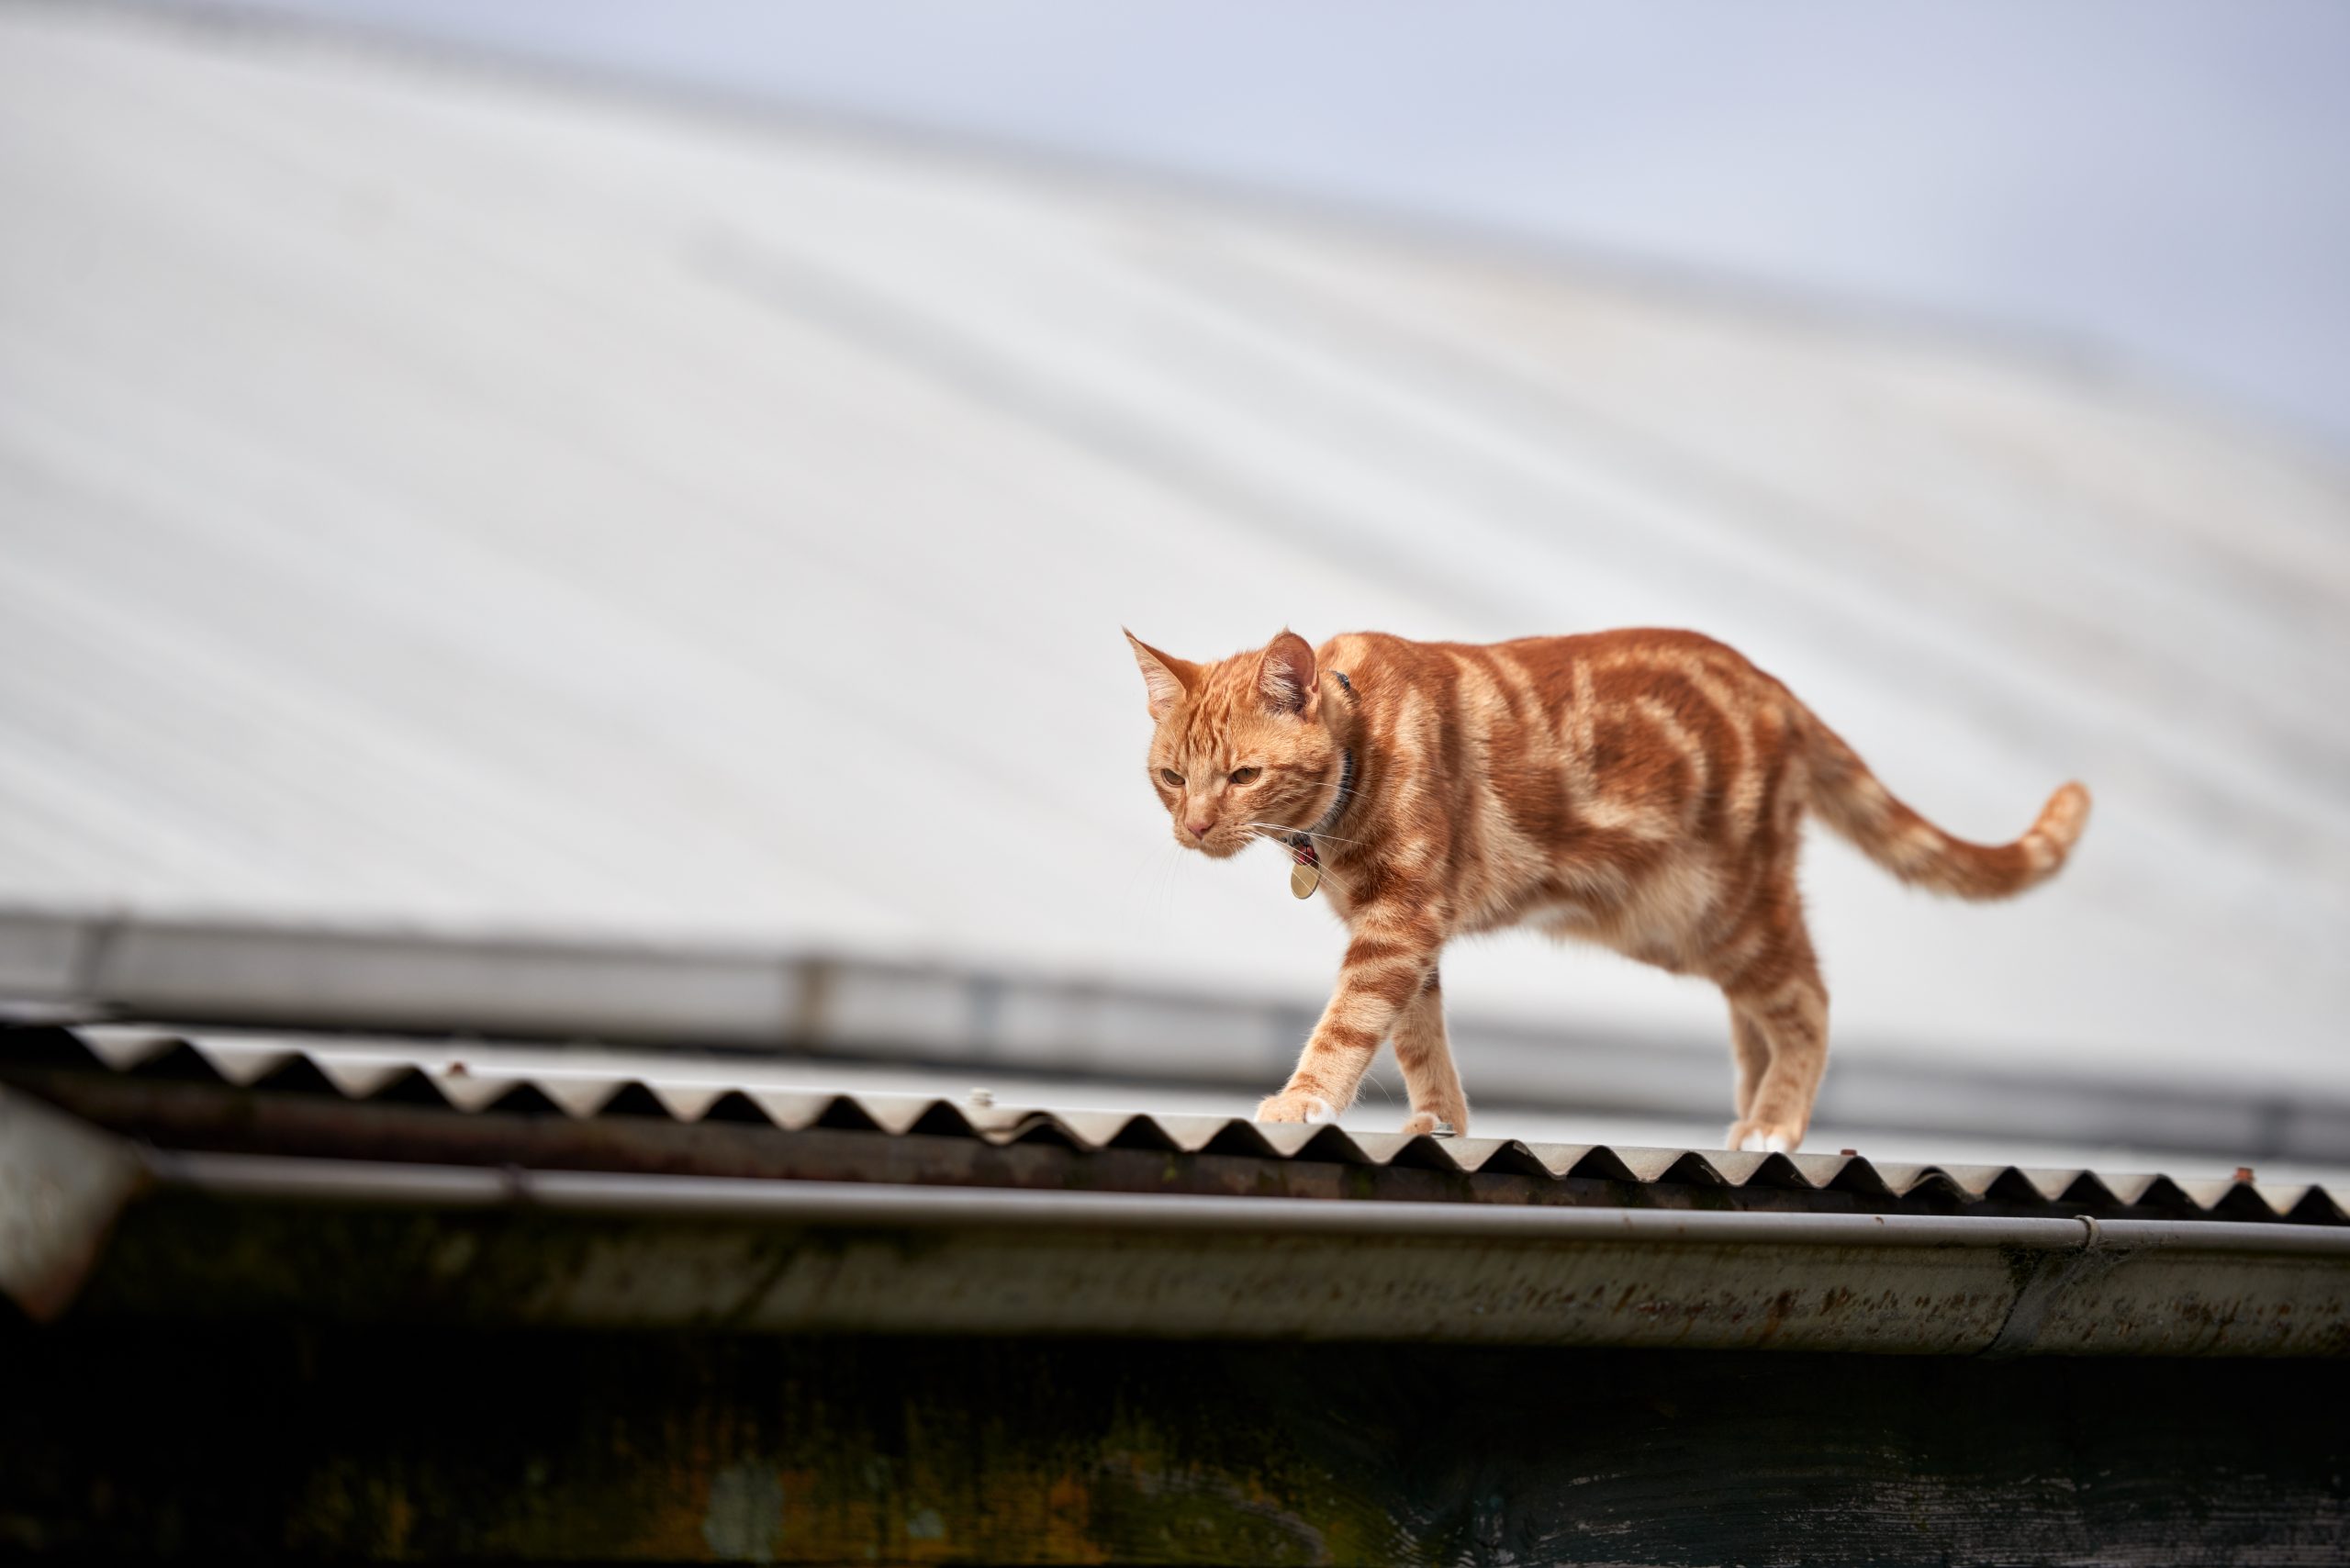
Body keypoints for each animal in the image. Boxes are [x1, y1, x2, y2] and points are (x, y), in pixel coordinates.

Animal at [1127, 625, 2087, 1151]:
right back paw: (1753, 1126)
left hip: (1723, 911)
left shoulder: (1397, 924)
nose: (1194, 828)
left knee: (1807, 1004)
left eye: (1243, 775)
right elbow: (1419, 1040)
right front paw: (1443, 1123)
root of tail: (1775, 688)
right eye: (1172, 778)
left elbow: (1348, 1028)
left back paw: (1776, 1127)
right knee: (1758, 1022)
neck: (1364, 740)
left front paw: (1301, 1102)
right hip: (1698, 933)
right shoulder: (1411, 938)